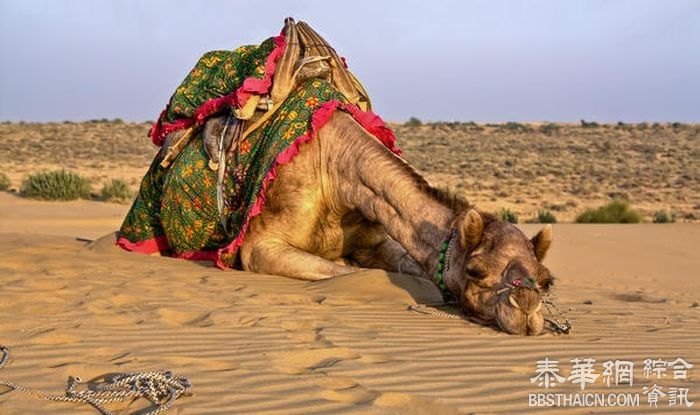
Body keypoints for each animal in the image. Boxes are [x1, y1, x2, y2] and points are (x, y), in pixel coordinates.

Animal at [232, 112, 556, 336]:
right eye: (475, 271)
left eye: (546, 280)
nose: (527, 308)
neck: (336, 172)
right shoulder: (258, 247)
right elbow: (350, 271)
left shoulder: (375, 242)